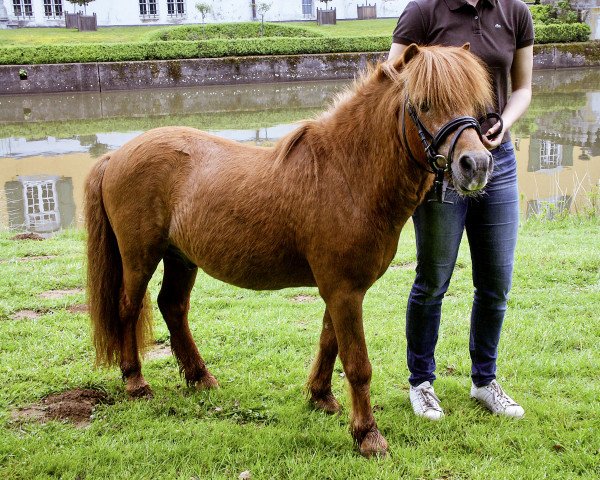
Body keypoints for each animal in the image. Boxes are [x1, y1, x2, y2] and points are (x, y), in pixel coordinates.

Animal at [85, 45, 496, 458]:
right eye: (425, 104)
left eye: (475, 104)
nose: (475, 165)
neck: (347, 174)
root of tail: (116, 156)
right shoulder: (344, 290)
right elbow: (357, 364)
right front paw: (368, 435)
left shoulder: (340, 289)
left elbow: (329, 342)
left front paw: (320, 397)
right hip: (140, 257)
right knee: (128, 308)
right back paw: (136, 381)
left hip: (181, 258)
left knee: (173, 306)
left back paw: (201, 377)